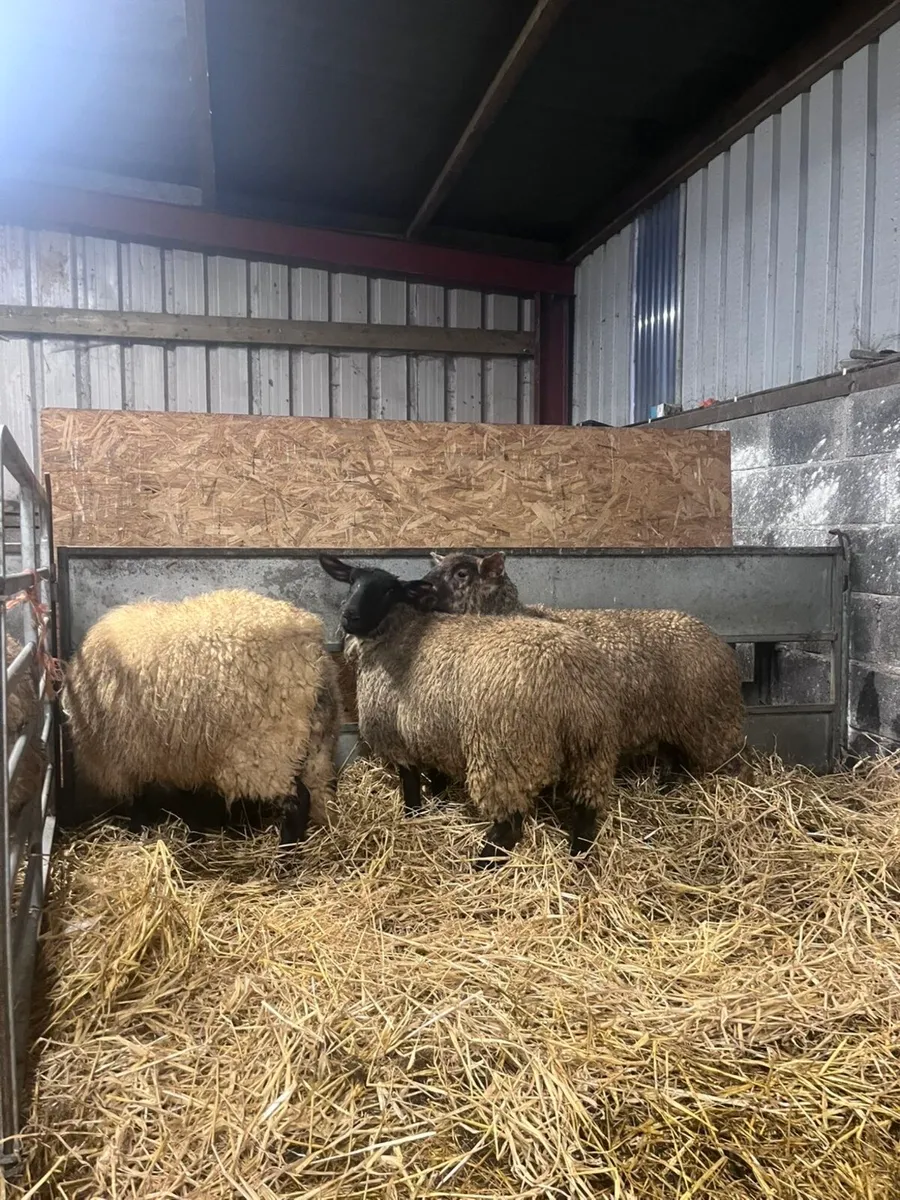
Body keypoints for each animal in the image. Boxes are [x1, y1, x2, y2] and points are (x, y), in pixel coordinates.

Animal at [61, 589, 341, 846]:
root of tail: (312, 646)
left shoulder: (132, 753)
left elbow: (140, 800)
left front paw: (139, 832)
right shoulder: (180, 751)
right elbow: (187, 798)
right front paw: (193, 833)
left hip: (267, 749)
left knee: (297, 802)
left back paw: (285, 857)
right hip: (315, 742)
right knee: (315, 790)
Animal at [319, 554, 624, 867]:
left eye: (389, 590)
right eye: (351, 581)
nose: (349, 616)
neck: (401, 630)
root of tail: (572, 689)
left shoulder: (396, 734)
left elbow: (411, 785)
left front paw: (413, 817)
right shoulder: (432, 732)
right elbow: (437, 778)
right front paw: (438, 805)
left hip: (504, 754)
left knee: (509, 825)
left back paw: (480, 864)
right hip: (593, 752)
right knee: (585, 811)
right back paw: (579, 858)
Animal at [424, 551, 749, 784]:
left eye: (461, 573)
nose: (419, 588)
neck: (516, 615)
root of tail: (720, 644)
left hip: (713, 727)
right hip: (676, 727)